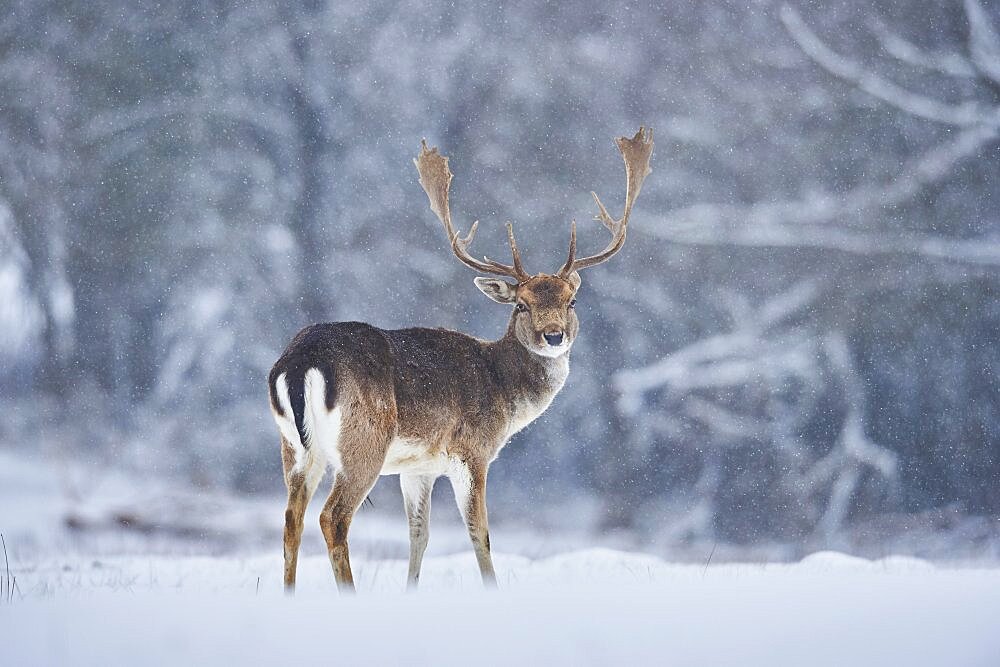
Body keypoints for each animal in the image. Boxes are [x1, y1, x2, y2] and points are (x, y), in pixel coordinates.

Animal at [270, 128, 652, 592]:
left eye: (571, 300)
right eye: (521, 305)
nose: (553, 335)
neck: (503, 390)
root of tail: (298, 363)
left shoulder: (417, 467)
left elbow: (419, 535)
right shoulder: (471, 451)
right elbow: (479, 533)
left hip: (294, 448)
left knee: (291, 519)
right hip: (363, 441)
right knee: (333, 517)